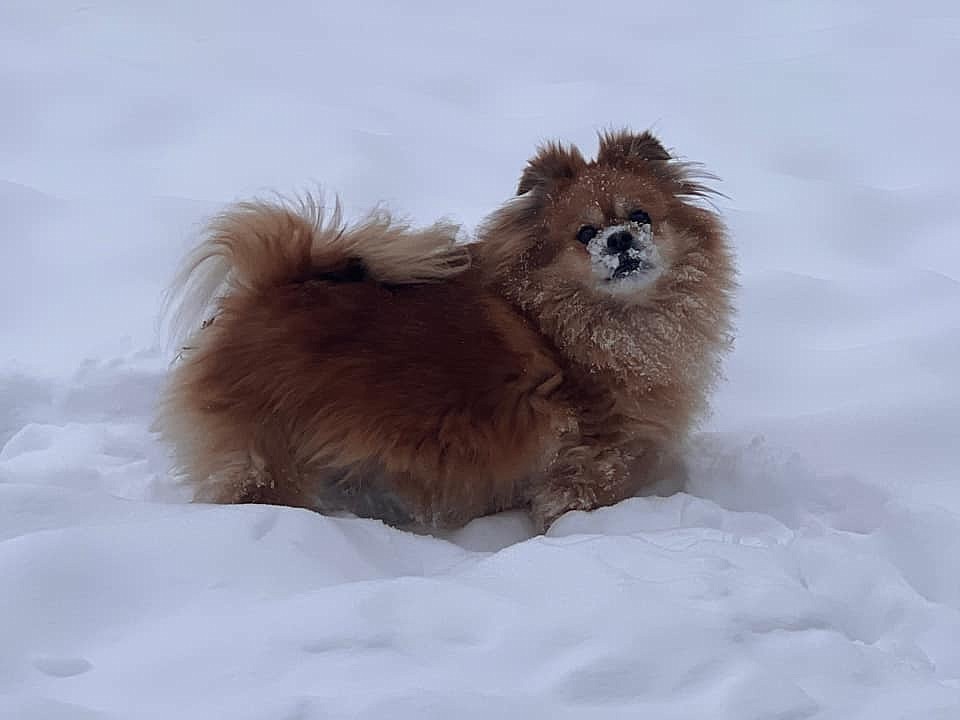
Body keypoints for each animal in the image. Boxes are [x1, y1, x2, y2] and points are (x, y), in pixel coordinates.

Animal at [158, 132, 736, 532]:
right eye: (585, 233)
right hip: (273, 455)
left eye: (641, 216)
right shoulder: (594, 456)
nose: (619, 239)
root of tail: (269, 286)